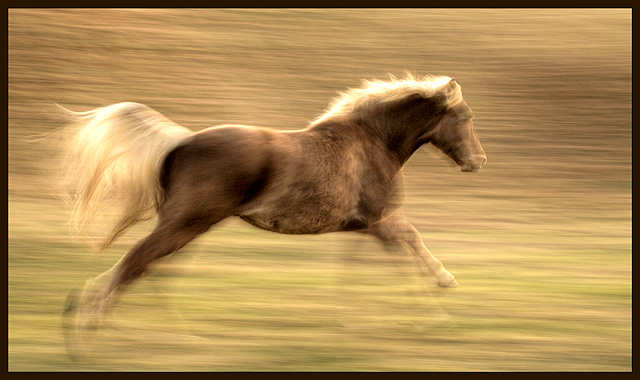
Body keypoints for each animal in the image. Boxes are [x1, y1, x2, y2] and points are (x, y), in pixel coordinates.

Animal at [62, 75, 488, 360]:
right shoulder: (376, 220)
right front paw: (439, 299)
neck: (373, 141)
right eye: (465, 116)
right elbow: (411, 241)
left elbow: (357, 268)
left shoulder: (362, 228)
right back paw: (87, 332)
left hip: (188, 227)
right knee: (136, 263)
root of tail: (181, 142)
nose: (478, 161)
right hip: (187, 225)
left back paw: (178, 338)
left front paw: (346, 322)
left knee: (152, 271)